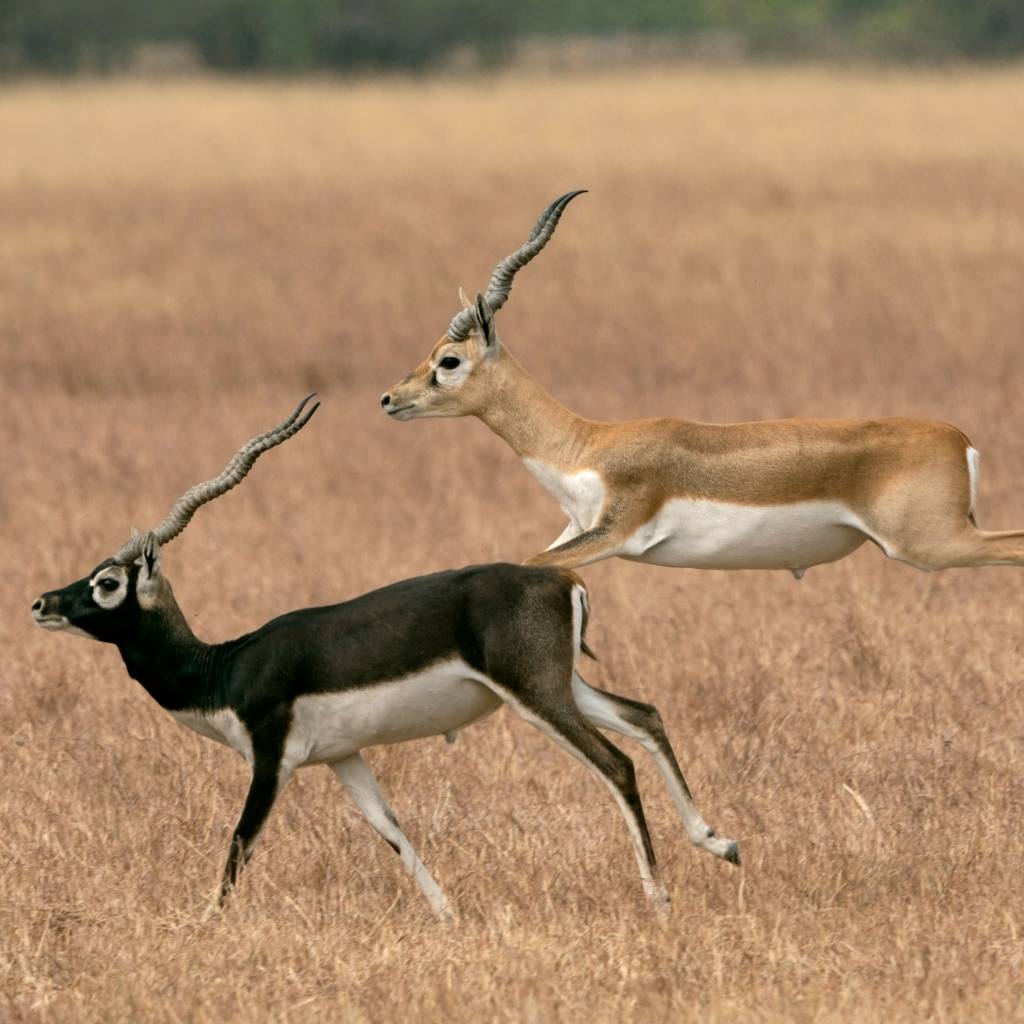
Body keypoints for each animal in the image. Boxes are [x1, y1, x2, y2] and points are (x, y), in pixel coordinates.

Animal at [32, 395, 737, 917]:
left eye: (106, 582)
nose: (41, 603)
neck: (223, 669)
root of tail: (562, 579)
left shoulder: (271, 759)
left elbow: (240, 843)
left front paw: (203, 925)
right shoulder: (344, 757)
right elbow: (392, 830)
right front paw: (448, 915)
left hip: (536, 696)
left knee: (616, 764)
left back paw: (660, 897)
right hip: (561, 684)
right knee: (644, 715)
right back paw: (720, 842)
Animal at [378, 192, 1024, 577]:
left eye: (448, 361)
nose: (389, 399)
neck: (585, 445)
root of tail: (959, 438)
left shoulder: (613, 534)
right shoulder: (577, 530)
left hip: (930, 543)